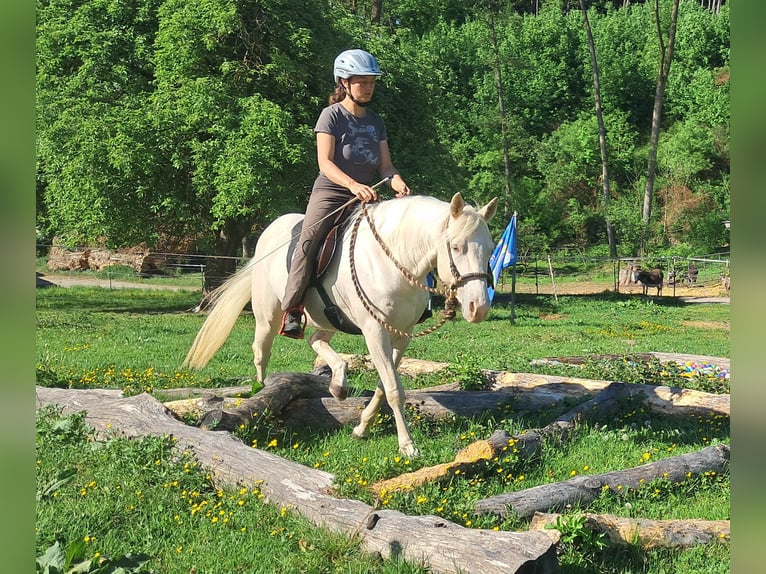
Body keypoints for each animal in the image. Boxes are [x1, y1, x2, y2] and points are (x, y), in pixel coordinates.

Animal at [183, 193, 498, 457]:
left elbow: (385, 385)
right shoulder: (375, 332)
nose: (478, 308)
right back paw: (261, 392)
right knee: (261, 352)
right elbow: (394, 389)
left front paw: (362, 428)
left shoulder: (402, 335)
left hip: (329, 319)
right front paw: (407, 445)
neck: (395, 260)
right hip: (267, 317)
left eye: (491, 249)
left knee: (316, 341)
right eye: (456, 246)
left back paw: (338, 383)